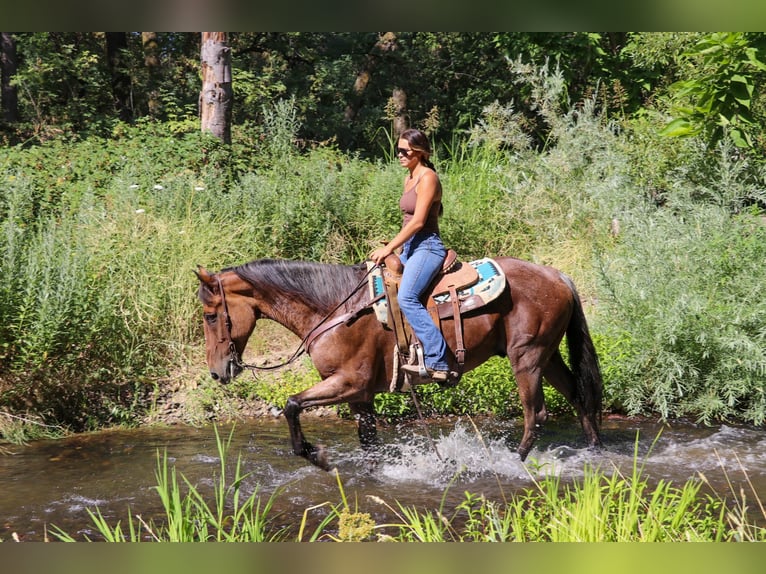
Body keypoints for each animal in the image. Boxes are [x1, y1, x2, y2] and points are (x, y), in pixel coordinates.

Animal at [198, 258, 608, 470]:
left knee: (535, 414)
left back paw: (508, 463)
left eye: (210, 315)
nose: (218, 371)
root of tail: (559, 276)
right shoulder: (359, 396)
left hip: (527, 357)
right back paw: (595, 451)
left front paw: (319, 456)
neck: (335, 309)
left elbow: (292, 404)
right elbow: (369, 444)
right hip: (548, 355)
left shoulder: (350, 382)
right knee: (578, 397)